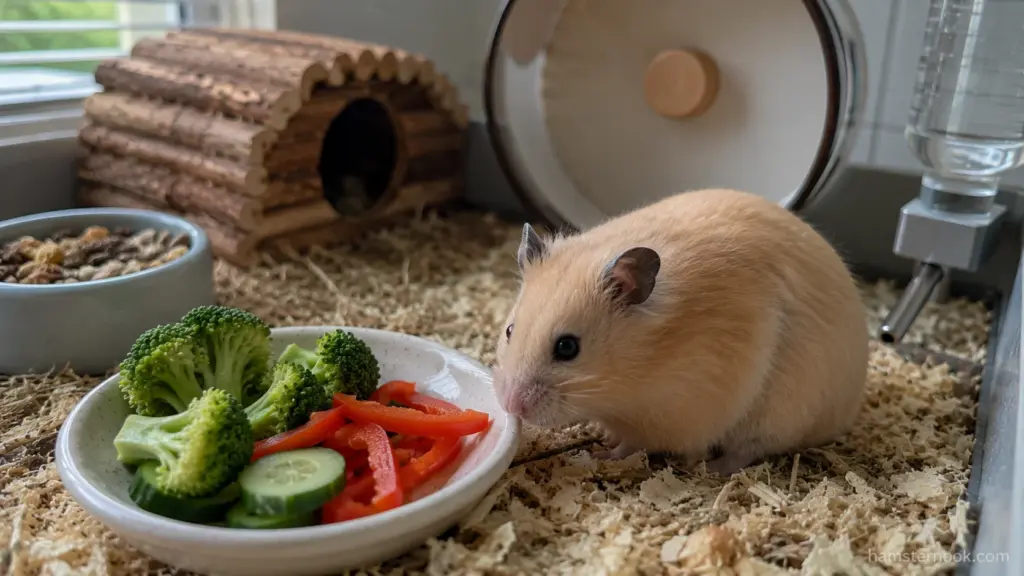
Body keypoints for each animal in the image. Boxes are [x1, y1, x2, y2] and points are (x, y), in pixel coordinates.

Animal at [492, 188, 868, 475]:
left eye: (568, 348)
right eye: (510, 330)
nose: (511, 405)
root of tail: (849, 407)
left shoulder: (676, 415)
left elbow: (633, 444)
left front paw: (603, 454)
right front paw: (603, 439)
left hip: (781, 414)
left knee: (748, 450)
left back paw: (713, 469)